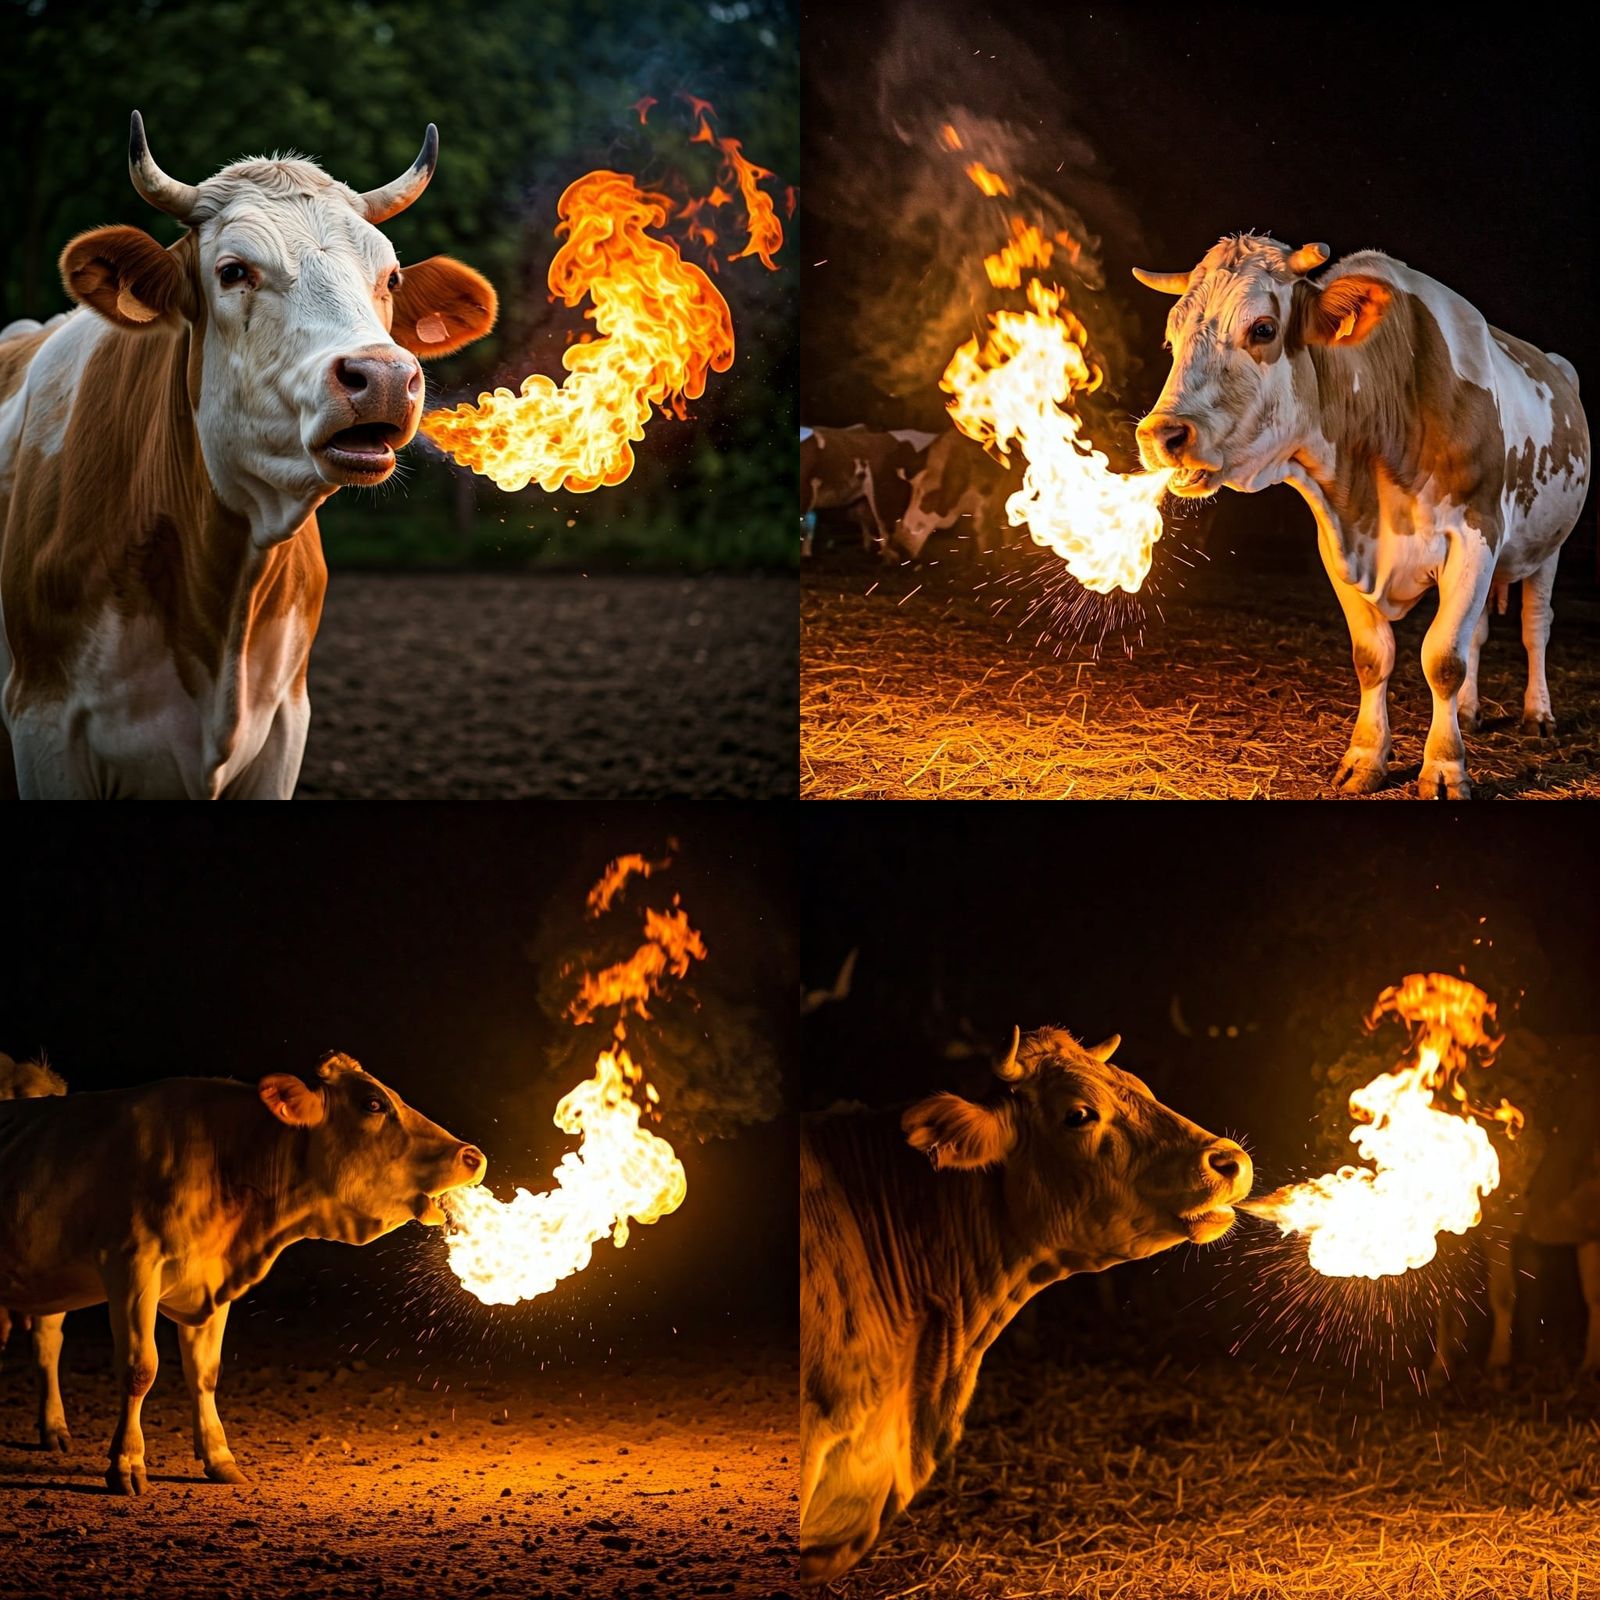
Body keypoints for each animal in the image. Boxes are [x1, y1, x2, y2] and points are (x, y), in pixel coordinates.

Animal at [0, 1050, 486, 1493]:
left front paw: (219, 1458)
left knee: (47, 1345)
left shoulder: (212, 1282)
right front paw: (127, 1464)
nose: (473, 1156)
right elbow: (140, 1369)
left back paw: (54, 1430)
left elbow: (206, 1373)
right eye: (372, 1103)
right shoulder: (132, 1268)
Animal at [1132, 235, 1590, 799]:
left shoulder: (1475, 534)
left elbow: (1443, 658)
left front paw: (1444, 768)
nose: (1161, 435)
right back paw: (1468, 712)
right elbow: (1374, 656)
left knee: (1534, 627)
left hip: (1548, 547)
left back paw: (1538, 715)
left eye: (1263, 328)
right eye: (1171, 339)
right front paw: (1366, 758)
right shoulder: (1338, 544)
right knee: (1479, 632)